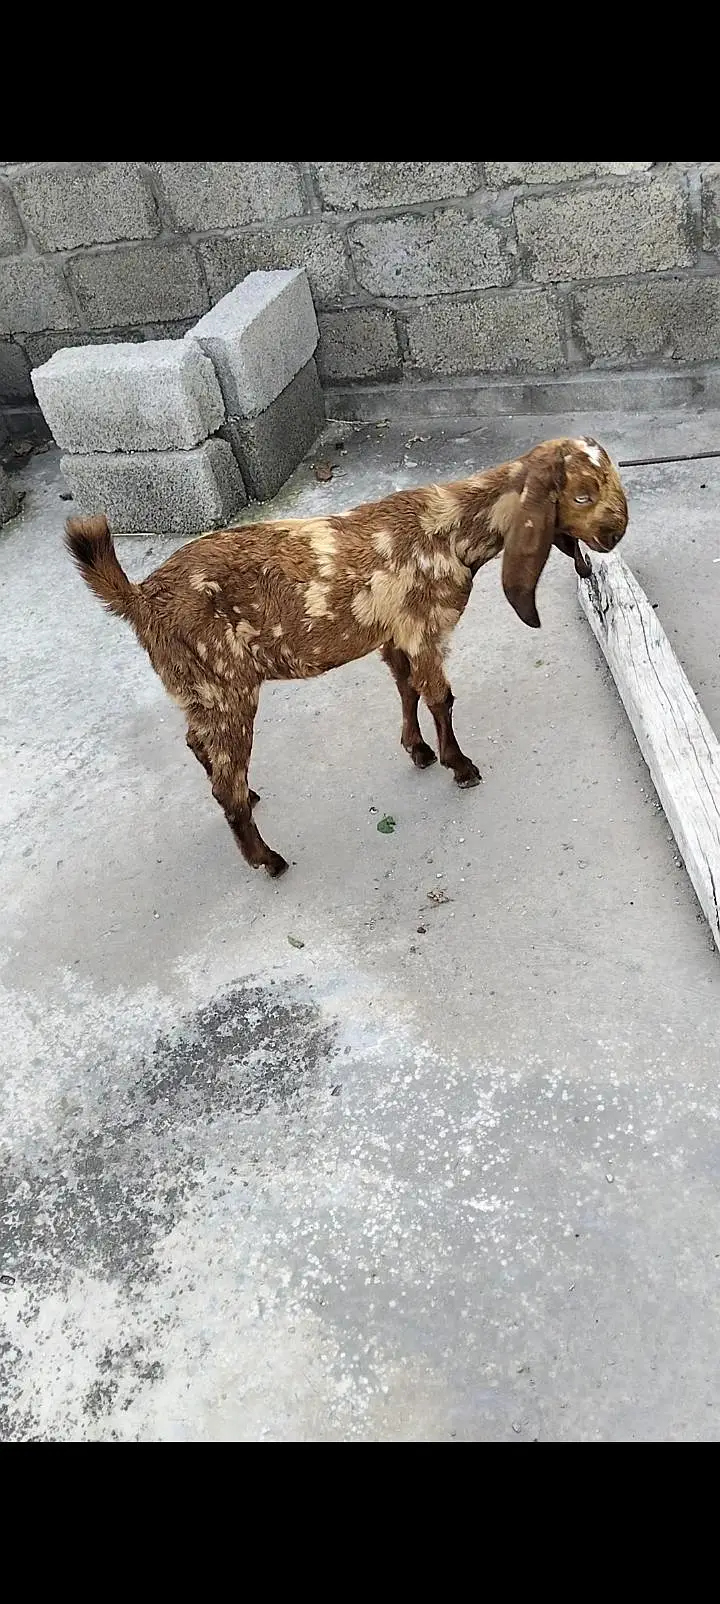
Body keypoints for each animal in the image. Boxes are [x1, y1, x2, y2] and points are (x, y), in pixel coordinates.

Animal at [65, 435, 628, 877]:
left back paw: (252, 799)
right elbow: (440, 696)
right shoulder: (424, 627)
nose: (615, 533)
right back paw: (268, 859)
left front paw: (418, 751)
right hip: (225, 685)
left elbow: (406, 688)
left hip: (196, 689)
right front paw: (460, 765)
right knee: (225, 780)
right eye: (582, 494)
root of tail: (141, 599)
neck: (451, 528)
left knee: (198, 746)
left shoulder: (394, 634)